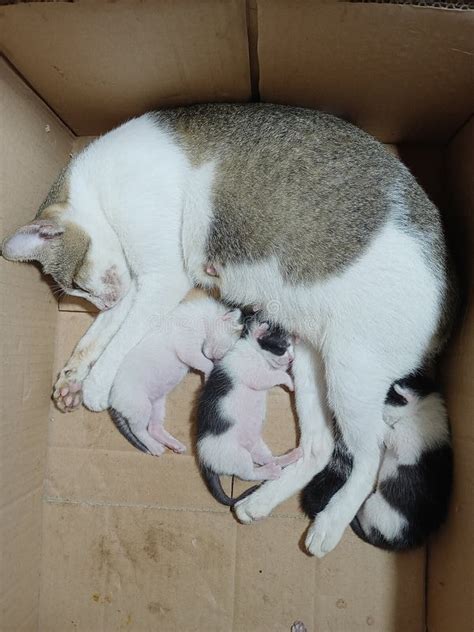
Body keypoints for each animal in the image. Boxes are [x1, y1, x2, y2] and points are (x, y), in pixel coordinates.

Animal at [109, 298, 243, 456]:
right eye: (225, 348)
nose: (219, 359)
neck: (201, 318)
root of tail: (112, 400)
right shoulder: (187, 348)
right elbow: (207, 363)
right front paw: (209, 376)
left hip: (157, 405)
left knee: (153, 428)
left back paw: (174, 444)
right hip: (140, 406)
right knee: (138, 430)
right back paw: (154, 447)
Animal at [197, 318, 302, 506]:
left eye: (291, 347)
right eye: (282, 348)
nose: (292, 358)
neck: (254, 350)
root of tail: (205, 461)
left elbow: (277, 371)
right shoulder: (256, 375)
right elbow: (275, 376)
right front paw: (290, 382)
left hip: (256, 445)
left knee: (267, 458)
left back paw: (288, 457)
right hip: (237, 455)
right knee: (248, 474)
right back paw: (270, 472)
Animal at [302, 372, 454, 552]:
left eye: (385, 401)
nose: (372, 410)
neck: (426, 405)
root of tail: (395, 543)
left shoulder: (405, 437)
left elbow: (388, 433)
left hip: (374, 508)